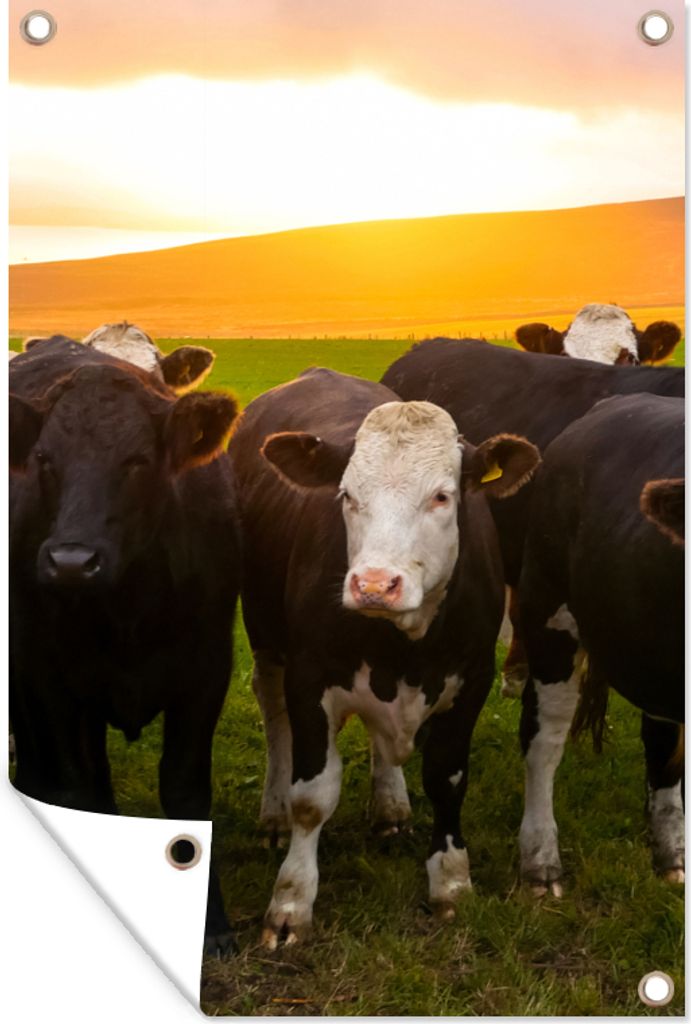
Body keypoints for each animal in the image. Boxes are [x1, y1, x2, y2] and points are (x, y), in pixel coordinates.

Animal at [9, 335, 241, 955]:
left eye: (137, 461)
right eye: (45, 460)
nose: (71, 562)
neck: (131, 607)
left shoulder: (206, 673)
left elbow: (185, 789)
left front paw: (211, 923)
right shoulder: (48, 678)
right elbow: (75, 783)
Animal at [228, 367, 540, 947]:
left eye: (442, 496)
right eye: (347, 495)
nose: (374, 584)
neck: (404, 643)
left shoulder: (473, 679)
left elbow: (447, 780)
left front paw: (451, 881)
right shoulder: (309, 678)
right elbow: (313, 795)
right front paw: (291, 901)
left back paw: (390, 802)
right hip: (262, 626)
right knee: (272, 708)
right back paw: (274, 810)